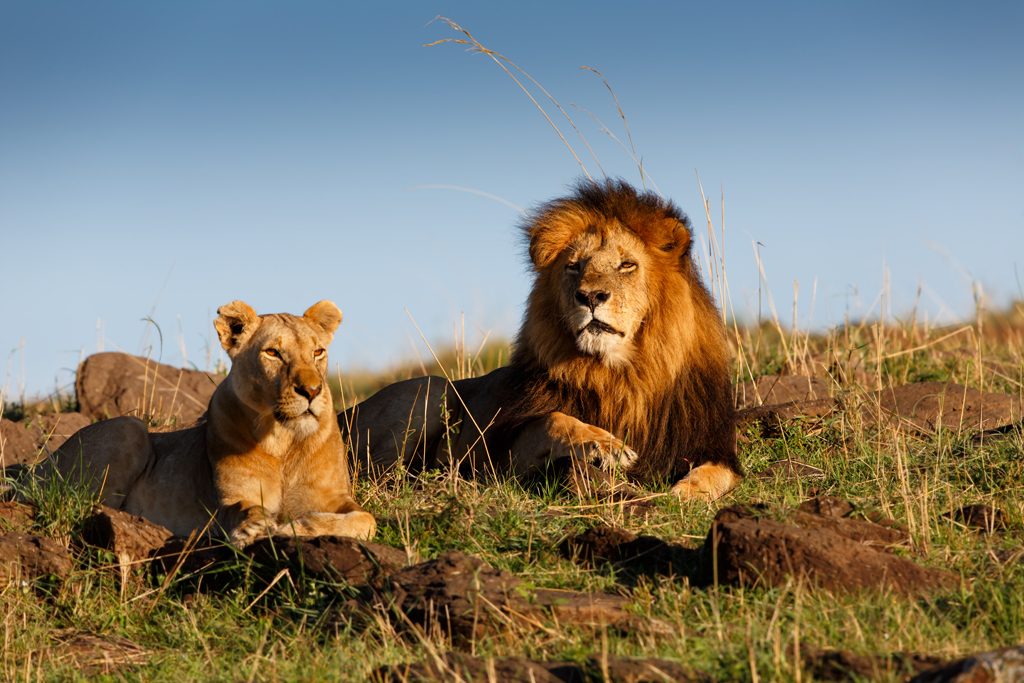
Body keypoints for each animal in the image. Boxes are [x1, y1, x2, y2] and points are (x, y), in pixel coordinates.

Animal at [46, 300, 375, 546]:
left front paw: (297, 527)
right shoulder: (231, 499)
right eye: (273, 352)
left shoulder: (335, 498)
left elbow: (366, 519)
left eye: (318, 352)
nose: (312, 390)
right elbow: (243, 509)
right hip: (129, 427)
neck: (284, 439)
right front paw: (254, 528)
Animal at [344, 180, 741, 500]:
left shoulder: (711, 445)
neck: (621, 375)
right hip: (431, 389)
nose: (590, 296)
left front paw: (684, 493)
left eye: (627, 265)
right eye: (574, 266)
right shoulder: (506, 456)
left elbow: (717, 474)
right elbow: (554, 418)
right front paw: (607, 446)